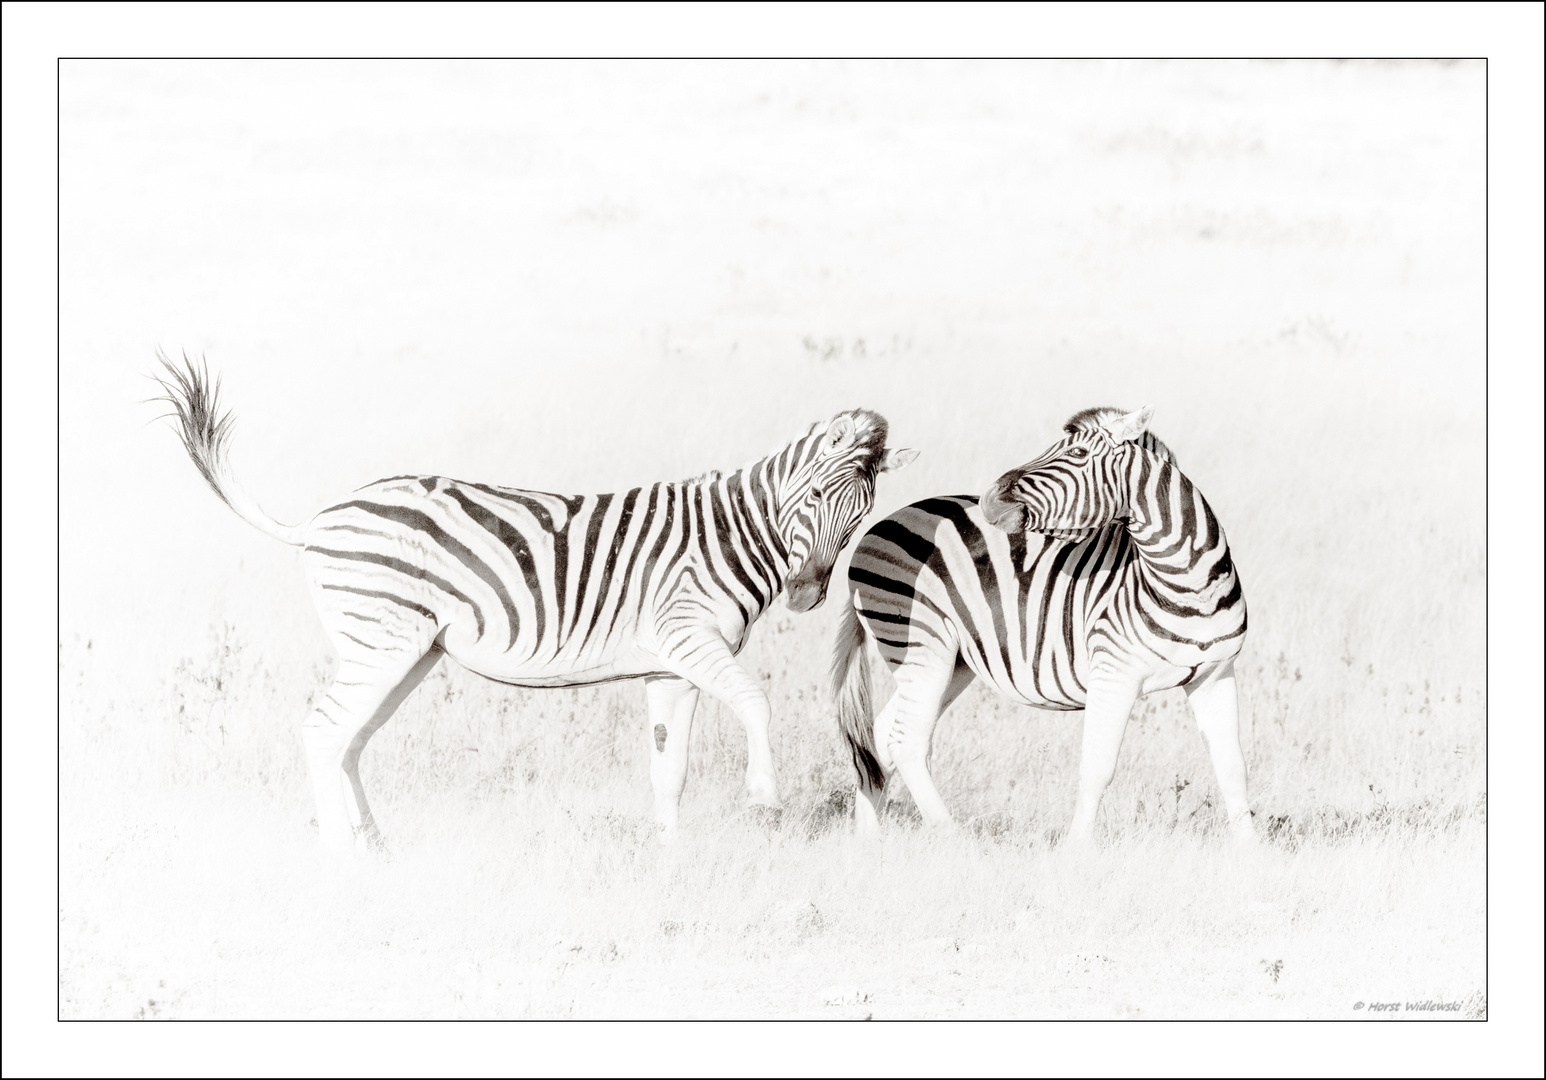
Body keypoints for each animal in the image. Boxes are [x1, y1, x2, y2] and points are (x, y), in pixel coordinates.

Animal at [153, 358, 915, 846]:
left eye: (860, 515)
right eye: (811, 496)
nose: (808, 593)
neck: (730, 533)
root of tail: (317, 519)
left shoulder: (669, 668)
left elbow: (669, 769)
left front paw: (670, 856)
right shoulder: (686, 638)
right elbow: (756, 702)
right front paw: (762, 796)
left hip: (404, 652)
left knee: (349, 738)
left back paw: (377, 848)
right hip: (383, 639)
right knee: (323, 731)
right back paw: (342, 856)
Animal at [828, 404, 1249, 846]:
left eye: (1079, 453)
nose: (990, 499)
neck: (1189, 585)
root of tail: (878, 525)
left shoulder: (1216, 674)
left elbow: (1233, 768)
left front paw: (1250, 850)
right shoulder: (1114, 674)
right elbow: (1097, 768)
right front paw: (1076, 850)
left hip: (951, 662)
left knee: (880, 738)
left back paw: (868, 843)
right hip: (921, 646)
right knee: (906, 741)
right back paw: (952, 838)